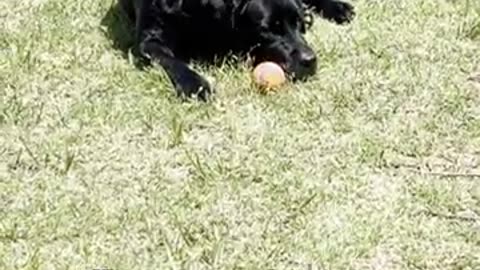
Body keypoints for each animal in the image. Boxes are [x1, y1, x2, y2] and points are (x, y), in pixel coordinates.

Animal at [119, 0, 352, 100]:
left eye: (297, 23)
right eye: (268, 29)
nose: (310, 60)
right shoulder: (149, 41)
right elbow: (171, 61)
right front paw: (196, 85)